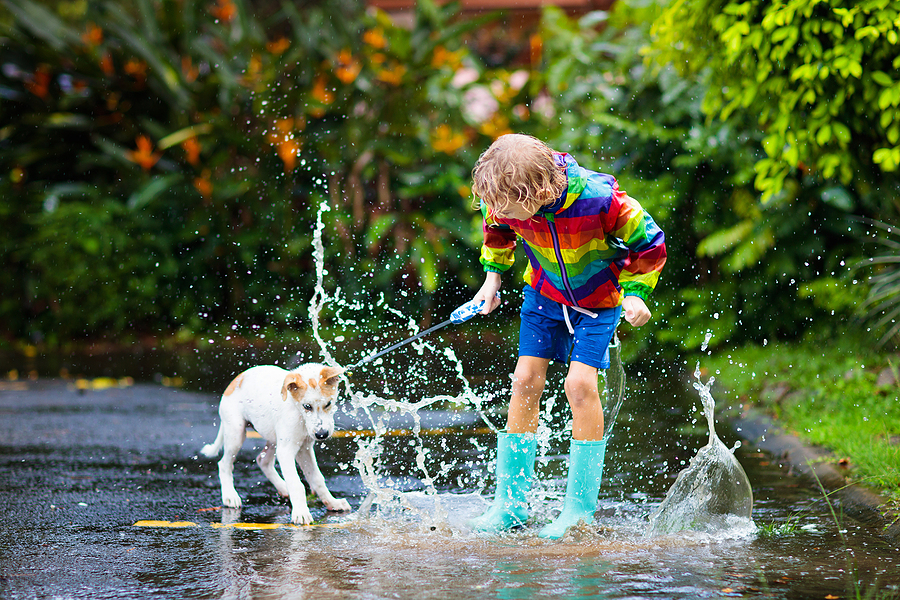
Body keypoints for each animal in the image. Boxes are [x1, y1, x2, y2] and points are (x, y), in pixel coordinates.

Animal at [201, 360, 352, 524]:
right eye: (307, 406)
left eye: (328, 404)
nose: (322, 434)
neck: (298, 411)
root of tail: (236, 380)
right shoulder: (286, 450)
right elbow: (296, 483)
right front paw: (301, 512)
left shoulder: (304, 448)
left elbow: (317, 478)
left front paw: (332, 502)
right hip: (236, 433)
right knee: (224, 463)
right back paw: (230, 496)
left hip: (273, 437)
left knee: (263, 461)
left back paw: (283, 488)